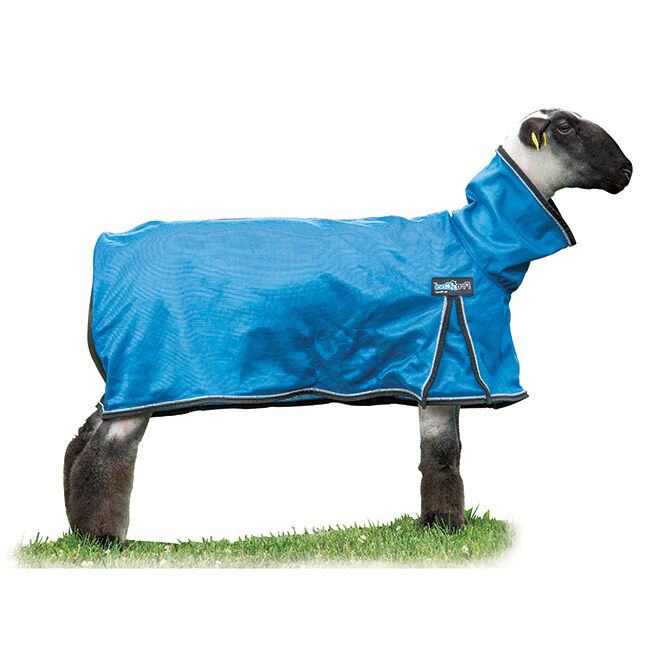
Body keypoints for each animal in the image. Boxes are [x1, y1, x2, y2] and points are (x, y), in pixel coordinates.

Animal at [64, 108, 632, 542]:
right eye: (565, 127)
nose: (627, 171)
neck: (477, 242)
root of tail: (108, 246)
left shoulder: (439, 380)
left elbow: (438, 456)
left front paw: (434, 526)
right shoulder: (448, 372)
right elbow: (444, 459)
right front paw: (448, 530)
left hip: (125, 380)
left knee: (84, 435)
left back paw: (77, 523)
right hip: (144, 373)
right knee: (105, 454)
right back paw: (102, 537)